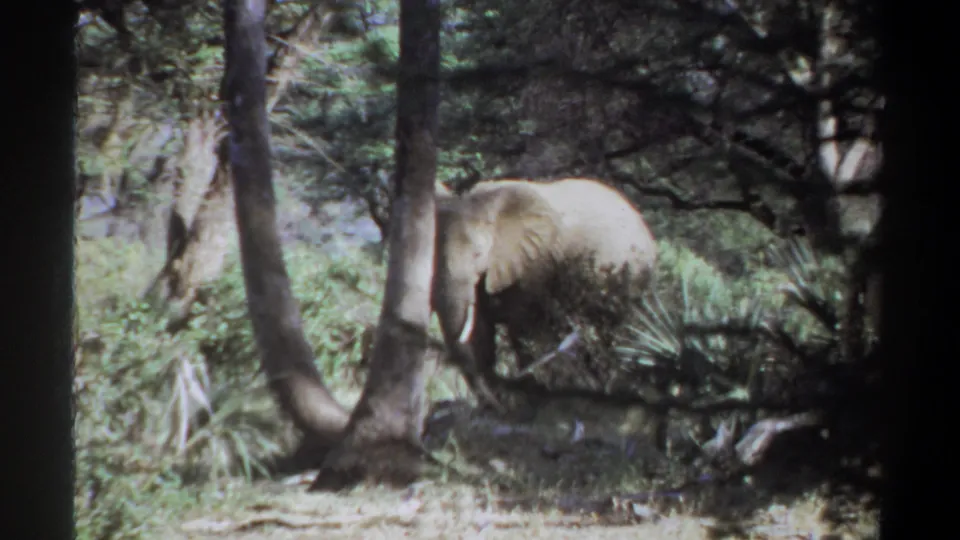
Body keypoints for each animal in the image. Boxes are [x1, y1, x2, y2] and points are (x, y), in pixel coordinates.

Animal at [431, 177, 658, 408]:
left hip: (630, 274)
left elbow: (521, 327)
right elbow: (481, 331)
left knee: (614, 333)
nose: (496, 404)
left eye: (478, 254)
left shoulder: (535, 264)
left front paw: (530, 393)